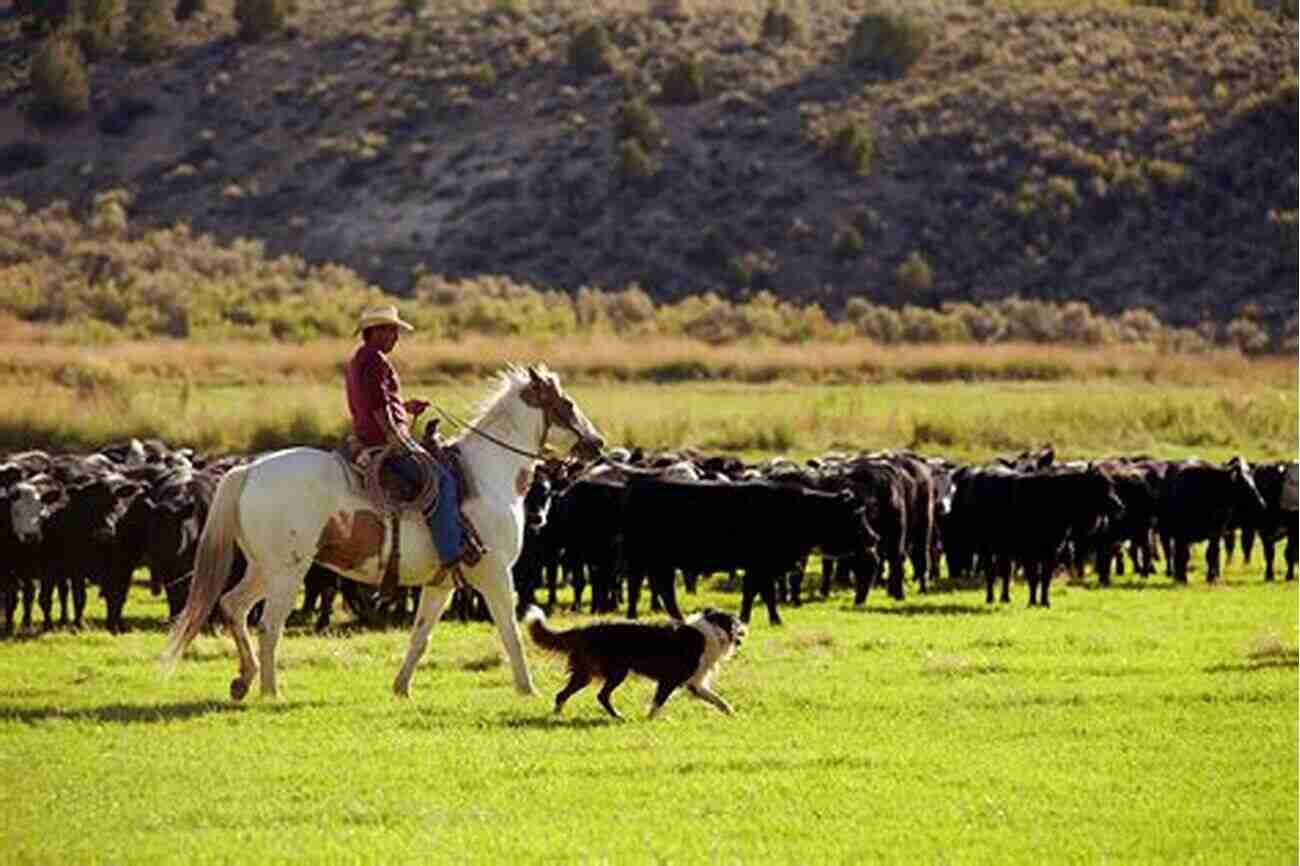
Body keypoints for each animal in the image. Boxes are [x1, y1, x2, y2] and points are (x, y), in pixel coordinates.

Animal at [162, 364, 603, 702]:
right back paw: (271, 690)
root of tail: (249, 469)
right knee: (269, 625)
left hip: (262, 568)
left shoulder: (441, 583)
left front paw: (401, 688)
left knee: (233, 606)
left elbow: (420, 637)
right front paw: (528, 688)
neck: (488, 475)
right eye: (567, 404)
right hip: (287, 572)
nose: (597, 443)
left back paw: (243, 679)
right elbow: (511, 632)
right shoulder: (495, 575)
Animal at [522, 603, 748, 717]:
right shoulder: (669, 679)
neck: (712, 630)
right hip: (616, 672)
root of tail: (585, 630)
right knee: (600, 695)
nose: (745, 630)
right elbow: (657, 703)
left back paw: (559, 715)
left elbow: (717, 699)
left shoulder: (695, 683)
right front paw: (650, 719)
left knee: (564, 695)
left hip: (586, 673)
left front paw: (731, 713)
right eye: (736, 623)